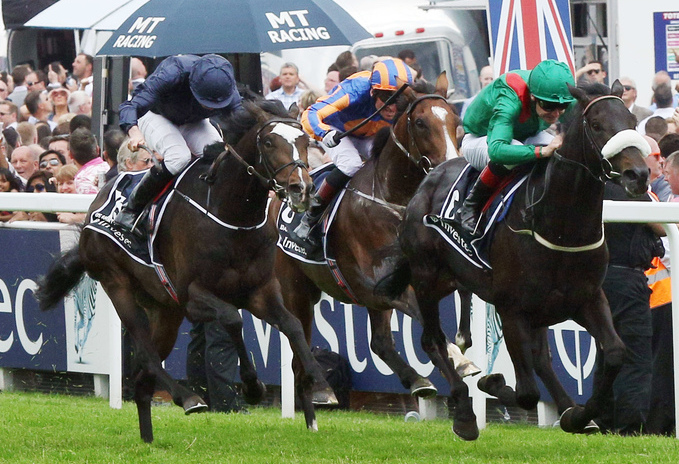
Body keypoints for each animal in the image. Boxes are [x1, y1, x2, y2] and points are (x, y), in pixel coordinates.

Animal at [35, 101, 338, 442]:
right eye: (270, 142)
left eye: (305, 141)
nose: (302, 189)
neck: (231, 214)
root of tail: (91, 211)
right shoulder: (193, 295)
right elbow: (232, 319)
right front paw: (251, 386)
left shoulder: (260, 290)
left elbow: (293, 326)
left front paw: (321, 385)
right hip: (118, 285)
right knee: (147, 356)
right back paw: (189, 398)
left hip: (165, 309)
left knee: (142, 380)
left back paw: (148, 438)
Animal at [274, 74, 476, 422]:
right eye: (420, 122)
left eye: (455, 120)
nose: (452, 165)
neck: (393, 201)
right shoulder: (380, 286)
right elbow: (423, 317)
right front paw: (458, 358)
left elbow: (463, 289)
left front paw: (462, 343)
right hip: (295, 289)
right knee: (299, 340)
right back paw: (322, 390)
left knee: (380, 343)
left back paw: (418, 381)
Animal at [380, 81, 652, 440]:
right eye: (596, 125)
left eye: (632, 121)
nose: (639, 175)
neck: (561, 228)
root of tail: (427, 180)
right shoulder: (512, 310)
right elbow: (526, 393)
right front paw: (491, 382)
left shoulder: (587, 299)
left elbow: (616, 353)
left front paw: (579, 416)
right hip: (427, 279)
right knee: (432, 341)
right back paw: (464, 414)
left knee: (540, 360)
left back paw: (566, 407)